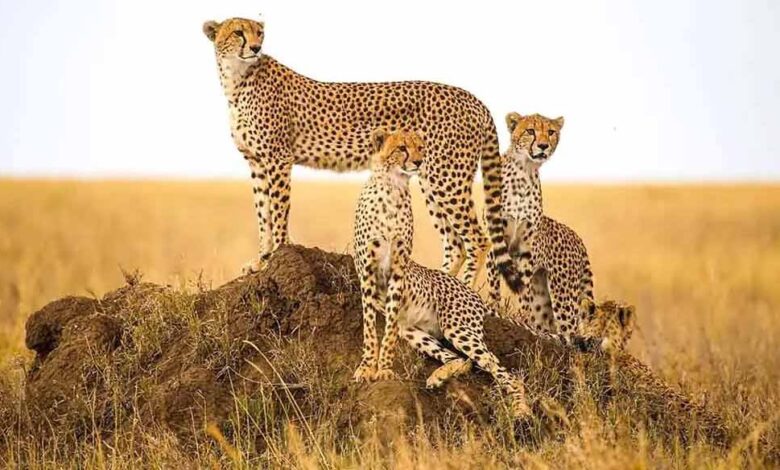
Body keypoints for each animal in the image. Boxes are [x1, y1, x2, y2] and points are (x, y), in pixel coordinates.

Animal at [202, 18, 520, 292]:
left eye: (259, 33)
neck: (237, 79)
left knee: (478, 239)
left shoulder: (277, 158)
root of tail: (473, 98)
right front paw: (261, 260)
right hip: (431, 177)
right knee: (455, 243)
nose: (256, 47)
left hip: (446, 177)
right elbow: (262, 213)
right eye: (238, 32)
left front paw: (277, 254)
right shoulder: (256, 162)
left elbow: (278, 212)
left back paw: (465, 290)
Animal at [352, 128, 530, 417]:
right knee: (462, 359)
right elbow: (370, 327)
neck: (392, 186)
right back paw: (438, 376)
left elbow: (388, 332)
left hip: (458, 328)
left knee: (500, 368)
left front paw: (385, 369)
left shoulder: (398, 271)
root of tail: (470, 291)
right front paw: (368, 367)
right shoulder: (367, 272)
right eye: (401, 148)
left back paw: (521, 409)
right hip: (415, 331)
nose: (418, 162)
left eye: (421, 147)